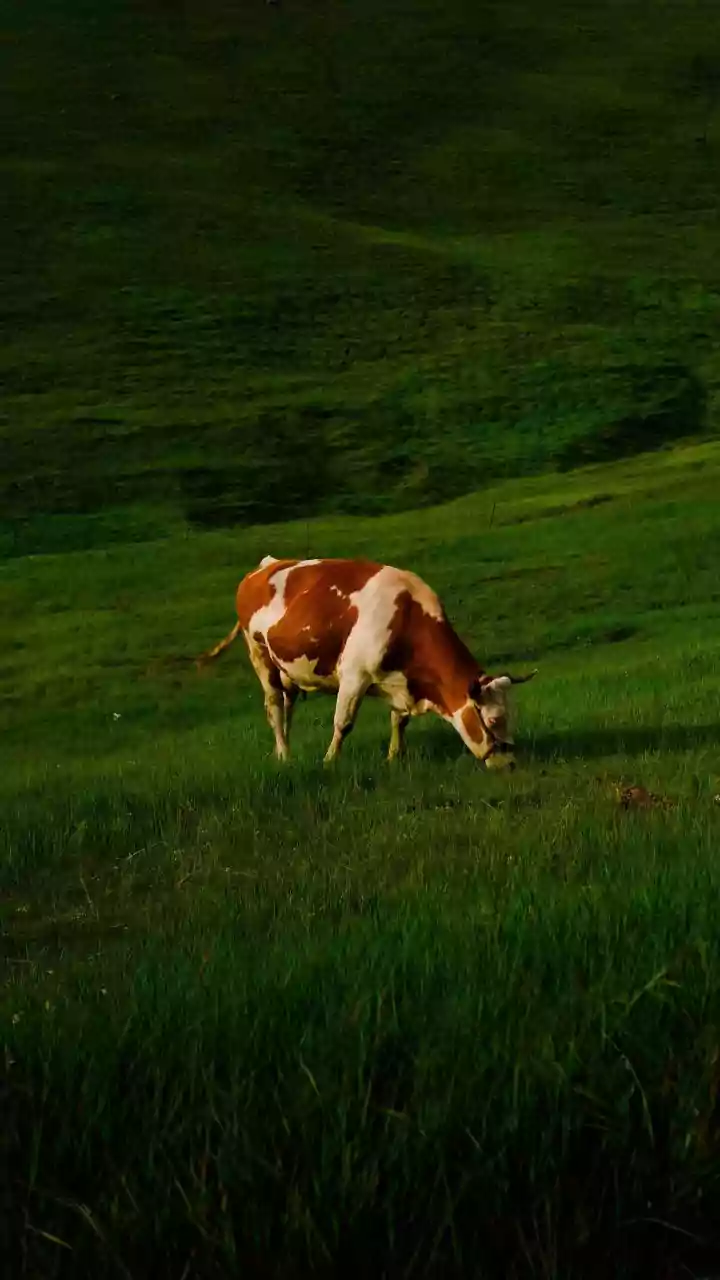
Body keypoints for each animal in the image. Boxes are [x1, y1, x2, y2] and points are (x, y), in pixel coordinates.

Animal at [197, 556, 537, 766]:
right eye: (493, 720)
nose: (511, 764)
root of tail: (264, 566)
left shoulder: (399, 681)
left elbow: (399, 720)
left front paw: (394, 758)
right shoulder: (354, 676)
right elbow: (343, 723)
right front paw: (330, 761)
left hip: (287, 668)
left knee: (286, 703)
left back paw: (284, 751)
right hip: (259, 654)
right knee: (273, 706)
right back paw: (283, 753)